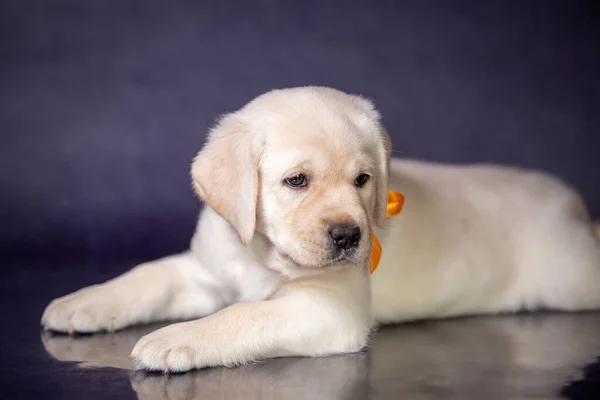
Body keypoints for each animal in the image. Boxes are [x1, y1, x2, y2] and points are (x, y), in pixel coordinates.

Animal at [42, 86, 600, 370]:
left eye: (362, 180)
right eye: (296, 180)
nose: (350, 236)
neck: (260, 253)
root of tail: (569, 200)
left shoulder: (328, 309)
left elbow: (243, 314)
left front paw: (178, 338)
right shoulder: (201, 271)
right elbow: (146, 276)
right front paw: (82, 302)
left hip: (570, 277)